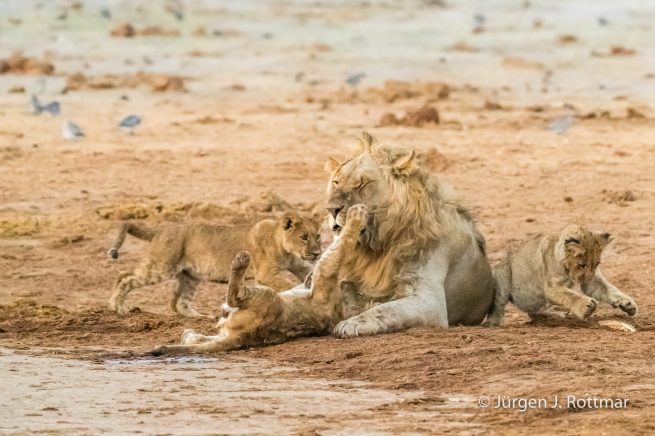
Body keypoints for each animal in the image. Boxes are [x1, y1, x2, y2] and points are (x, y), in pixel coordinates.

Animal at [107, 211, 322, 318]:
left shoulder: (301, 266)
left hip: (190, 276)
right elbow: (287, 284)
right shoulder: (266, 273)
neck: (287, 248)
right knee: (123, 277)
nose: (317, 253)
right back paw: (118, 308)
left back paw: (199, 317)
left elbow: (309, 274)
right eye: (304, 237)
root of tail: (161, 229)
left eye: (318, 236)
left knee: (179, 302)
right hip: (161, 267)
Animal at [152, 204, 370, 355]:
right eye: (305, 237)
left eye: (316, 237)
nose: (316, 252)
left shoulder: (325, 270)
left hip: (265, 295)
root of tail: (244, 338)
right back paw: (189, 335)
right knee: (203, 339)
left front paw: (357, 214)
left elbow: (343, 243)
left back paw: (240, 261)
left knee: (235, 296)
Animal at [487, 225, 637, 326]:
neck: (568, 271)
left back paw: (553, 315)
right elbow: (570, 296)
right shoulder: (552, 288)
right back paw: (494, 322)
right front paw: (586, 306)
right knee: (498, 304)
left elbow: (610, 290)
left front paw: (628, 304)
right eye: (582, 265)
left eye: (596, 263)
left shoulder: (593, 282)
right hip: (503, 273)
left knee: (533, 312)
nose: (588, 278)